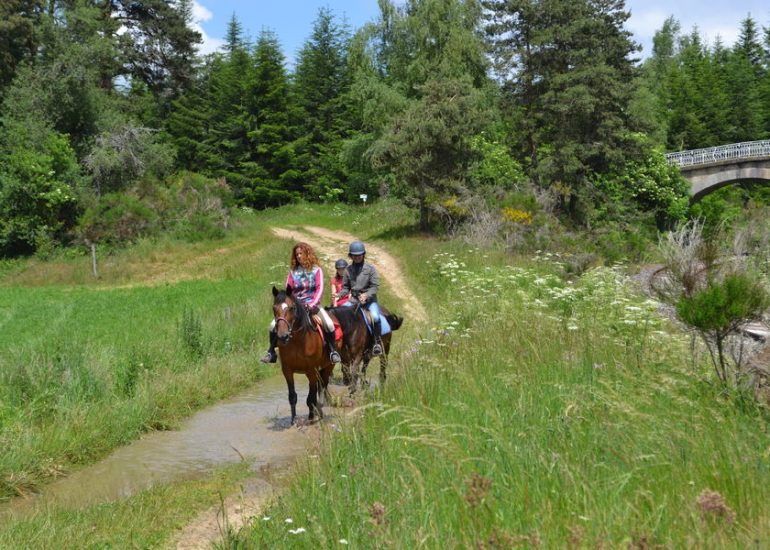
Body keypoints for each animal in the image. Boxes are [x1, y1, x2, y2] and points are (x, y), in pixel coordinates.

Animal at [268, 288, 332, 426]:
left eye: (292, 308)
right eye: (274, 308)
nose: (283, 336)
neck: (297, 341)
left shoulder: (311, 370)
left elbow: (311, 397)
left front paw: (311, 418)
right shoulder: (287, 370)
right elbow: (292, 396)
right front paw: (293, 420)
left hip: (329, 365)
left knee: (323, 384)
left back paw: (320, 410)